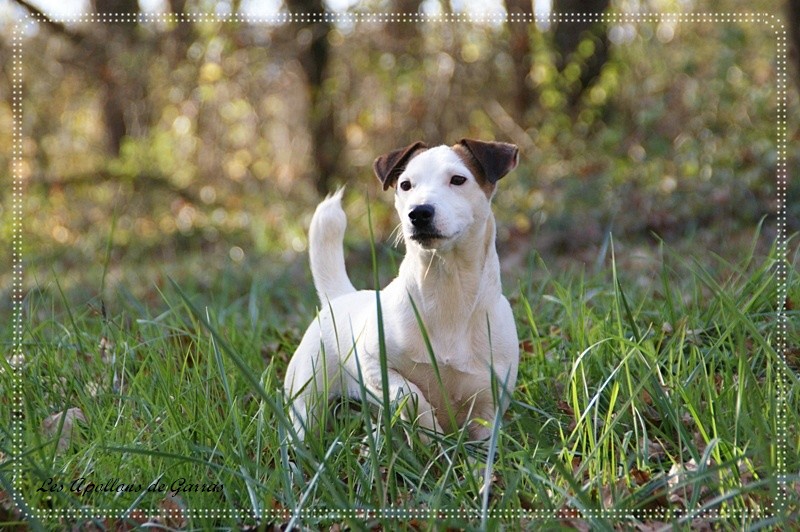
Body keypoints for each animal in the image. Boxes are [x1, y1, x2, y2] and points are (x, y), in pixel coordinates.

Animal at [284, 139, 520, 442]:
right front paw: (430, 430)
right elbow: (410, 395)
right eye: (406, 184)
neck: (447, 290)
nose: (419, 212)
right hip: (307, 400)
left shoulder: (490, 400)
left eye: (458, 179)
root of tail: (340, 297)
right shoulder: (374, 364)